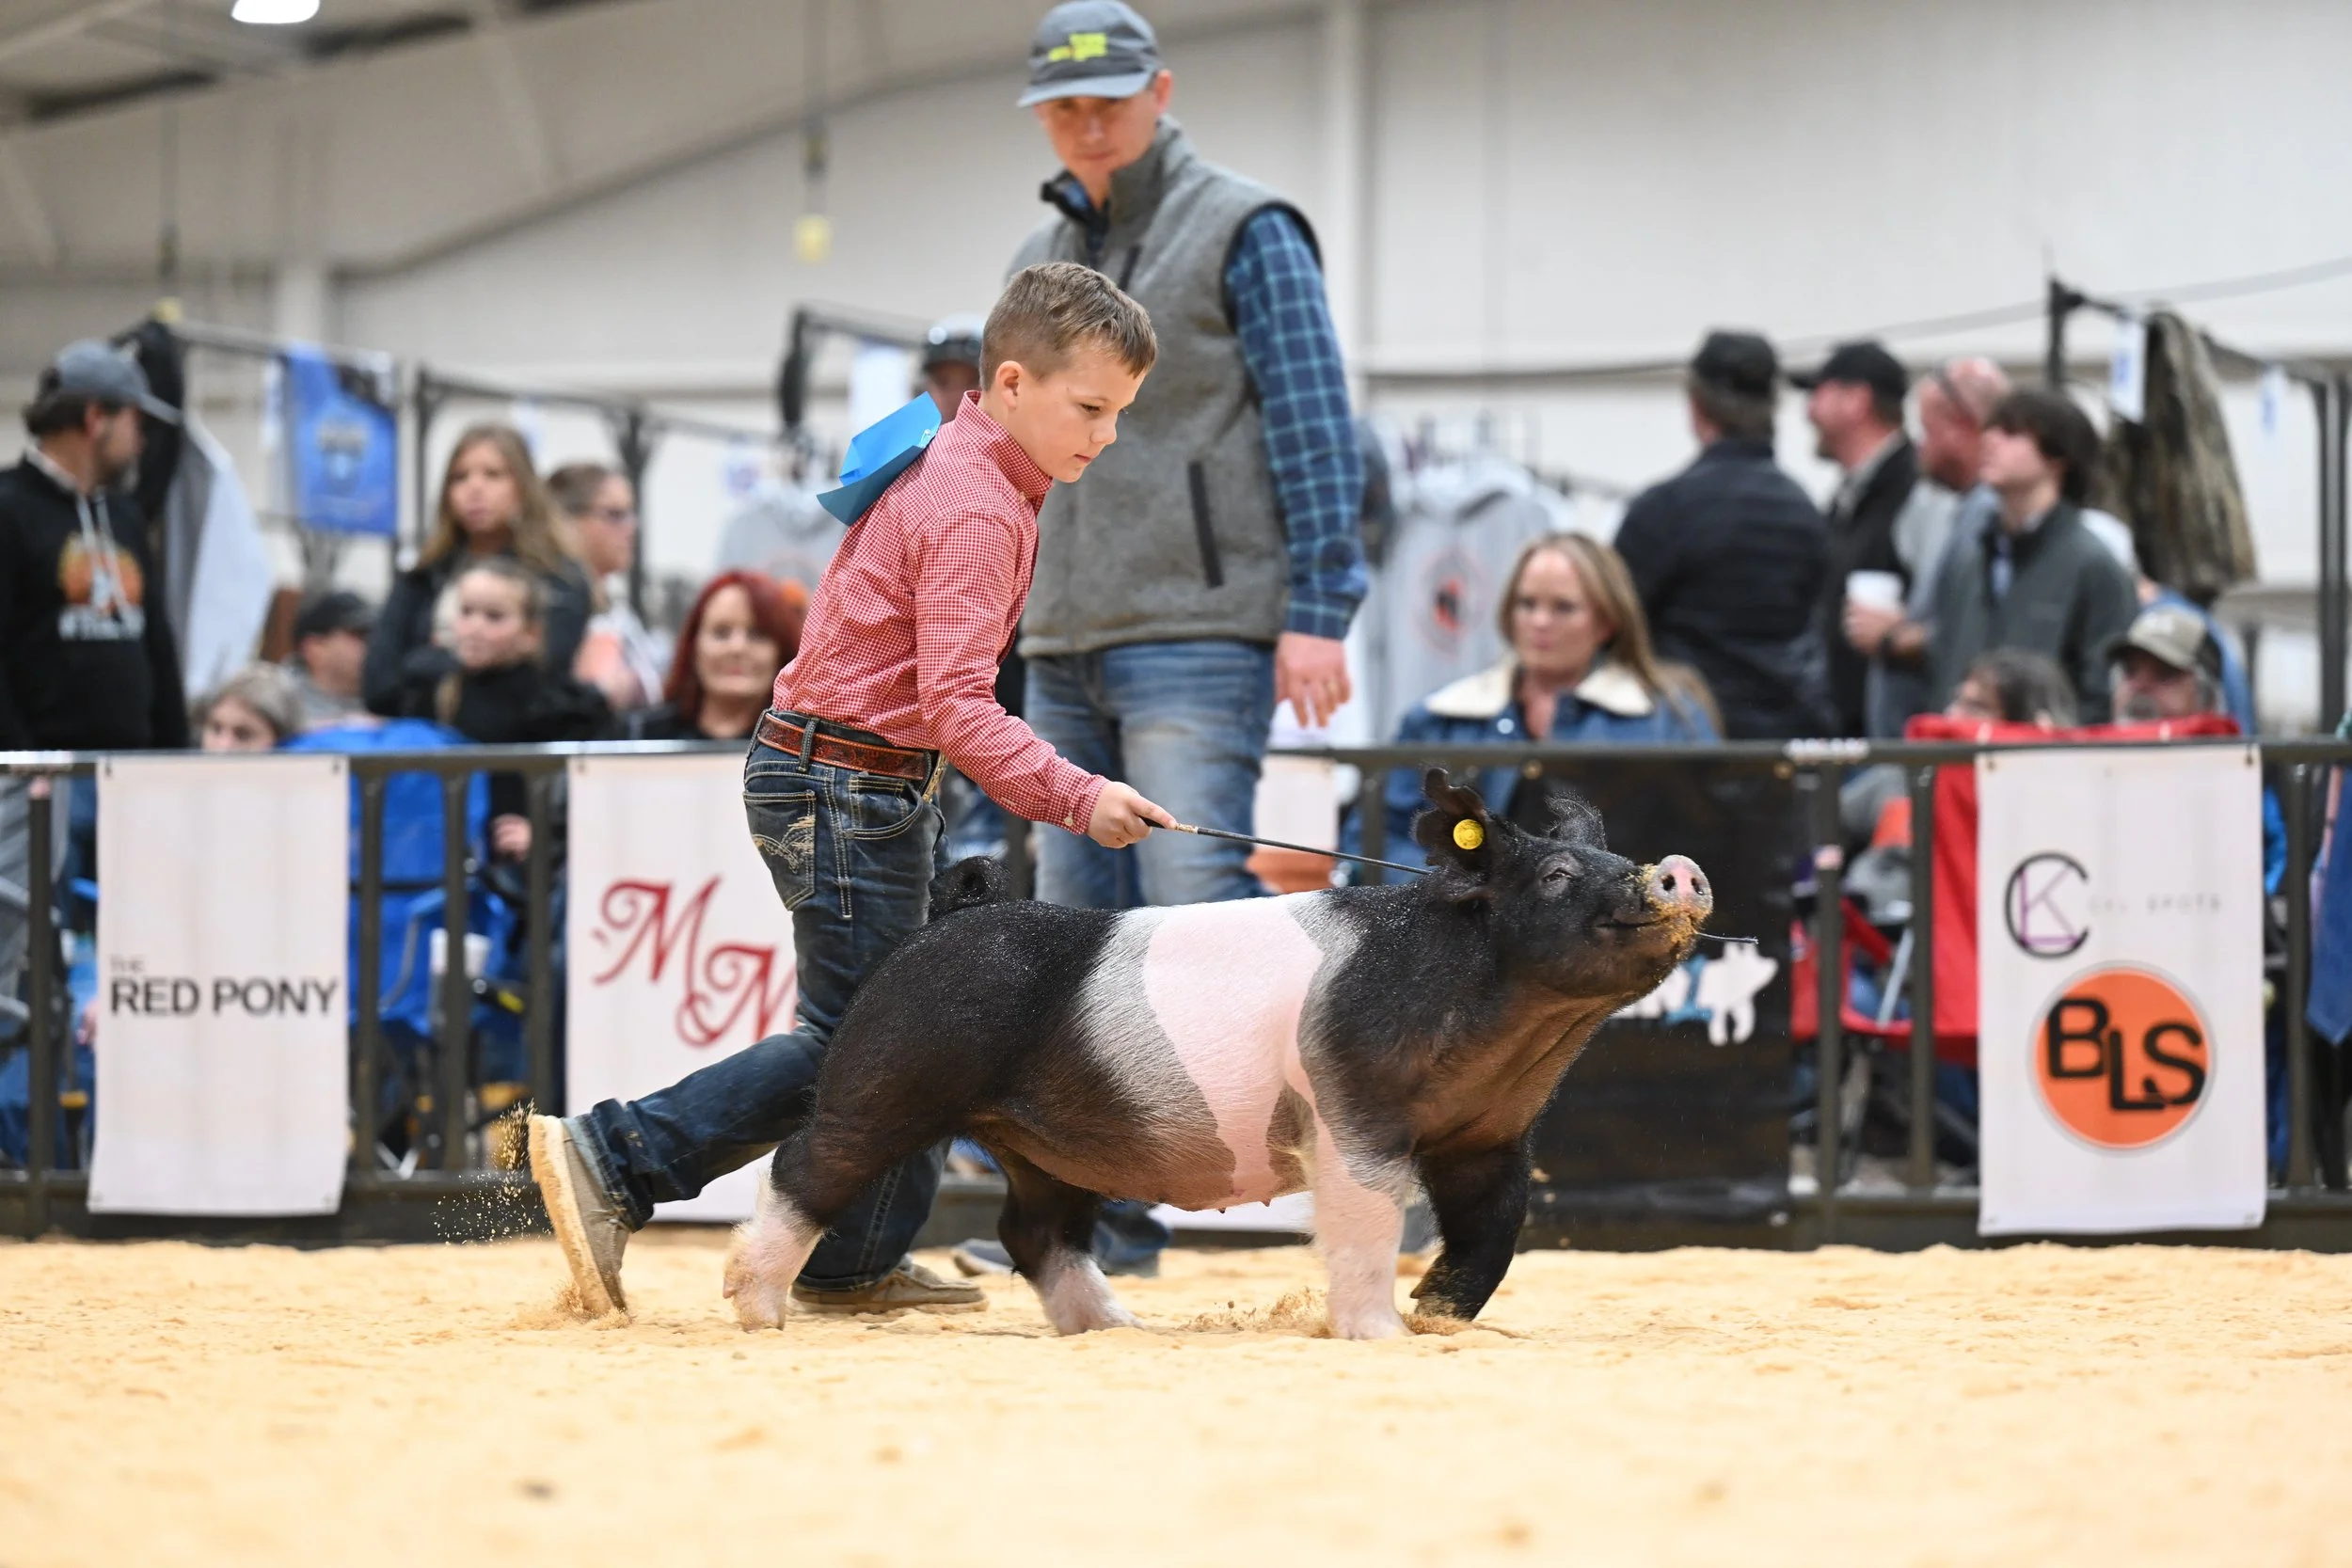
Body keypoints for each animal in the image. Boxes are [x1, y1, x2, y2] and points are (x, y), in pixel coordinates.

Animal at [723, 770, 1713, 1340]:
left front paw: (1439, 1319)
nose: (1679, 868)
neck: (1516, 1039)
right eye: (1555, 875)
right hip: (893, 1074)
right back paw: (756, 1310)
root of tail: (955, 909)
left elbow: (1497, 1228)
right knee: (807, 1163)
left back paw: (1119, 1327)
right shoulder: (1352, 1110)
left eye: (1618, 857)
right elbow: (1369, 1219)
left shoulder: (1491, 1135)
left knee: (1032, 1230)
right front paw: (1382, 1334)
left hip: (1043, 1143)